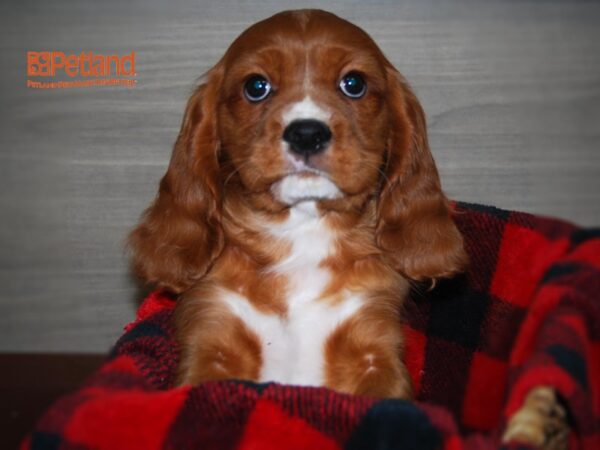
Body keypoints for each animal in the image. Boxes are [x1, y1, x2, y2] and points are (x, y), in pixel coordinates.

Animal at [129, 9, 466, 398]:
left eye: (354, 83)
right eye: (256, 87)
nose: (307, 133)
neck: (302, 228)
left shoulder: (373, 348)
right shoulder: (213, 336)